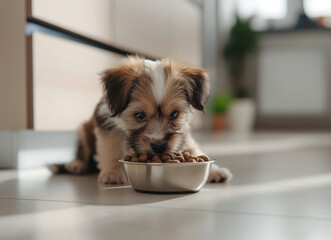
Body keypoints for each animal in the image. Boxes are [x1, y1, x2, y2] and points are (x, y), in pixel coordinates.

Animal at [63, 56, 233, 184]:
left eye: (174, 114)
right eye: (140, 116)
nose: (159, 146)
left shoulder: (182, 132)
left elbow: (192, 147)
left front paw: (215, 171)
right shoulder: (107, 123)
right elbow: (112, 148)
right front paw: (113, 173)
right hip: (83, 129)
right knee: (83, 151)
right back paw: (77, 165)